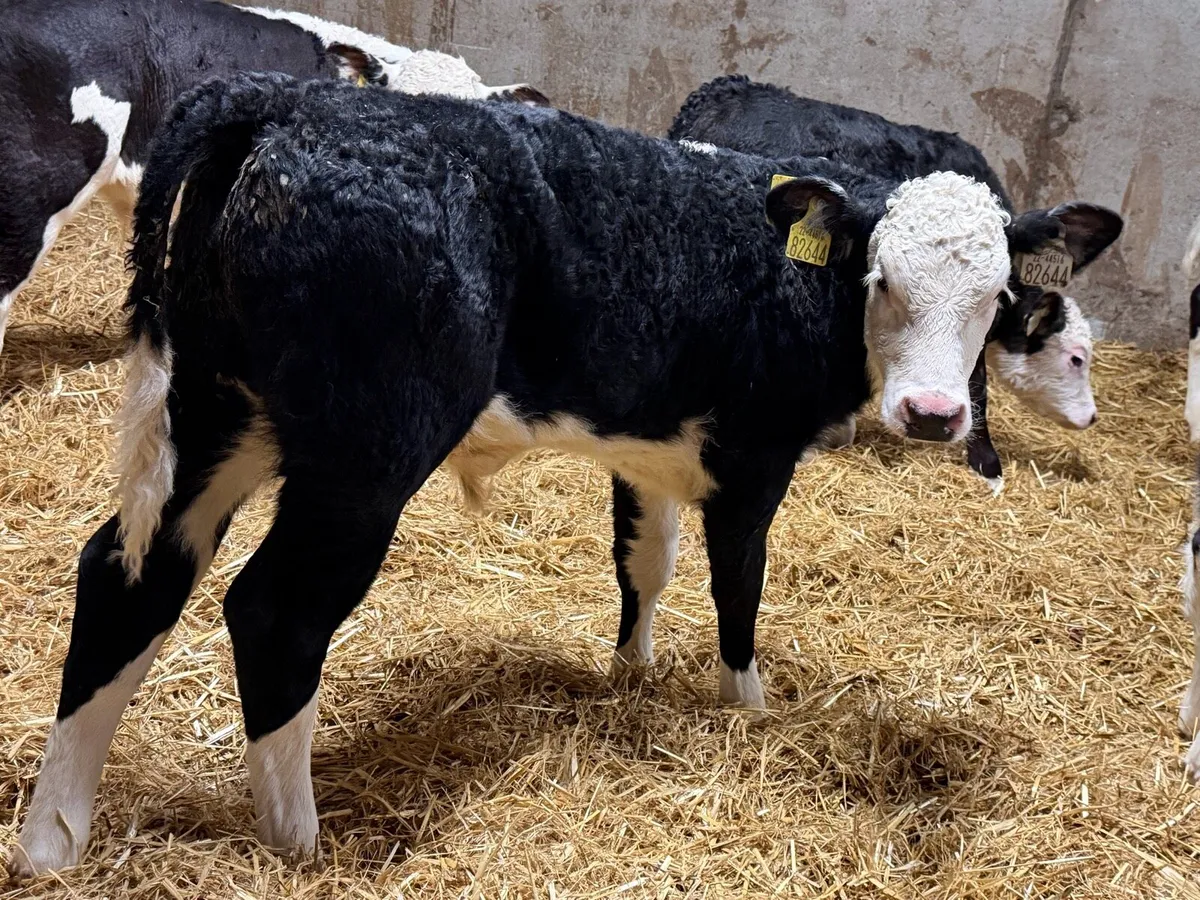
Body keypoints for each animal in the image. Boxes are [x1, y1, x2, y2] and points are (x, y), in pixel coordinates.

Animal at [11, 72, 1016, 874]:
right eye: (882, 281)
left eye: (994, 300)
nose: (934, 413)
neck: (786, 267)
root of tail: (288, 100)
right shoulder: (755, 459)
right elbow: (739, 585)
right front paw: (747, 711)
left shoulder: (650, 449)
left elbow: (645, 561)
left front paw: (631, 675)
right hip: (363, 456)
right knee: (276, 611)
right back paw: (298, 840)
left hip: (217, 411)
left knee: (128, 576)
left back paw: (51, 841)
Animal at [668, 75, 1121, 489]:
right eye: (1076, 359)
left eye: (995, 294)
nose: (1091, 416)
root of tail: (729, 87)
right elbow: (978, 383)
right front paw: (986, 463)